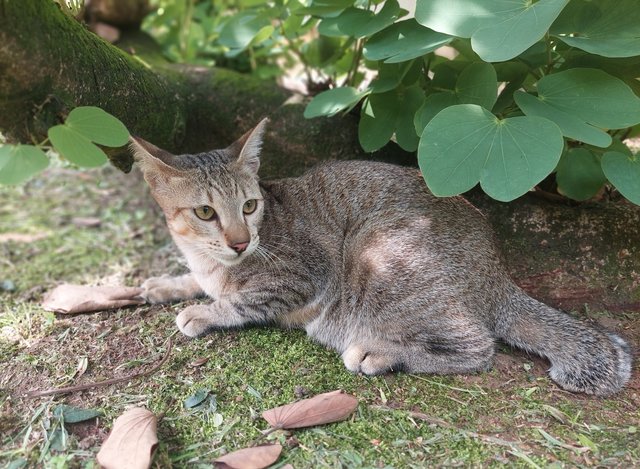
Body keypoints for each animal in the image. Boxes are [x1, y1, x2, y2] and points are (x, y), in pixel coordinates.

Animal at [130, 118, 632, 394]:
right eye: (205, 212)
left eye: (249, 206)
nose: (240, 241)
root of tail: (499, 277)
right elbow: (201, 280)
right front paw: (165, 283)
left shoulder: (302, 276)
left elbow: (239, 300)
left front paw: (203, 310)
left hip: (376, 247)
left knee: (478, 348)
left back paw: (381, 353)